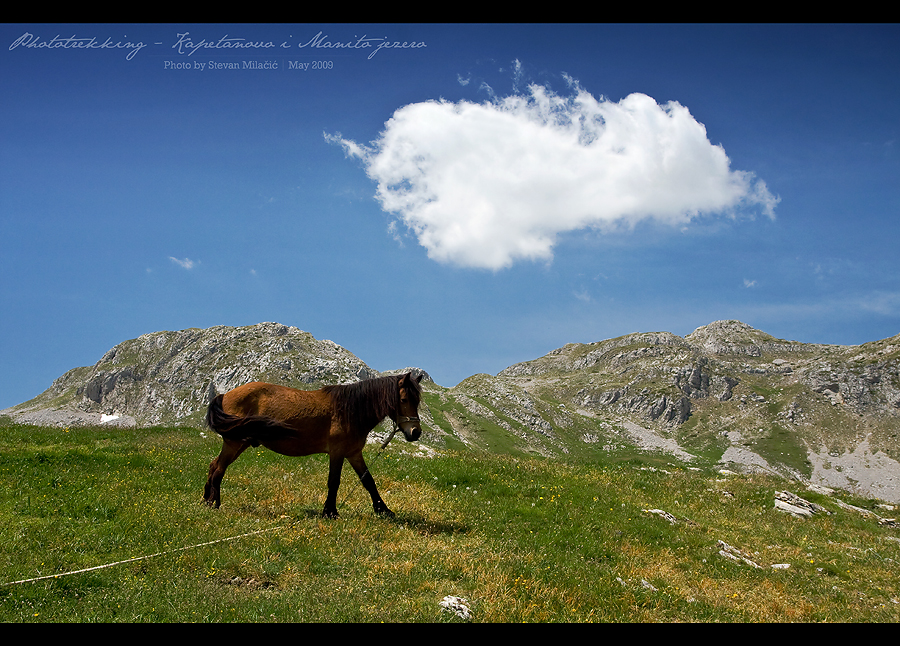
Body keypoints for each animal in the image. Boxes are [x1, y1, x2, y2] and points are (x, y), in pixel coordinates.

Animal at [206, 372, 424, 520]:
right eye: (404, 399)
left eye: (418, 401)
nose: (416, 432)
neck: (349, 410)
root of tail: (225, 395)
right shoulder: (337, 452)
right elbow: (334, 482)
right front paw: (330, 512)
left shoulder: (354, 453)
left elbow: (368, 481)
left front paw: (383, 510)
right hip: (234, 443)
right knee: (218, 469)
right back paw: (214, 503)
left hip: (238, 443)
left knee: (214, 465)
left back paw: (206, 499)